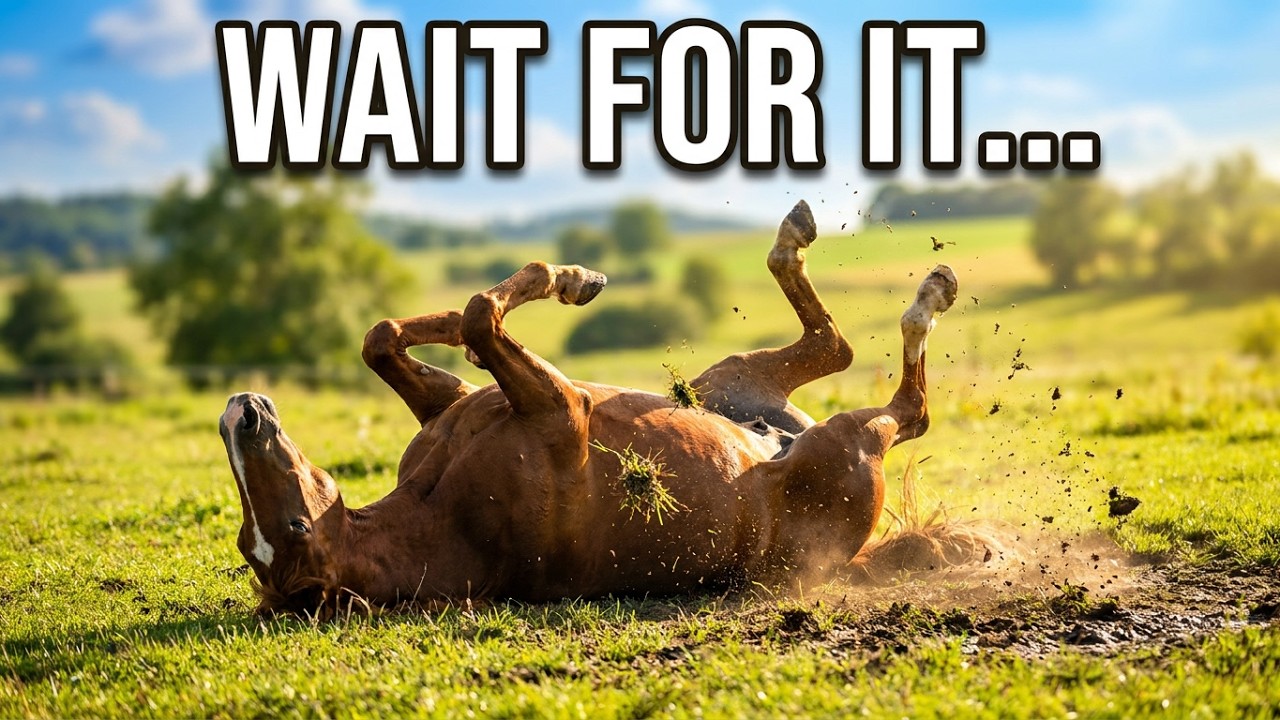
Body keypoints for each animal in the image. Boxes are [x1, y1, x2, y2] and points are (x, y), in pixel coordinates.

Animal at [218, 200, 958, 616]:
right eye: (289, 529)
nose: (242, 413)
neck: (441, 515)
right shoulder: (562, 408)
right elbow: (483, 313)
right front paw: (569, 281)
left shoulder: (450, 408)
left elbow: (395, 336)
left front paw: (532, 304)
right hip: (845, 442)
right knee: (908, 405)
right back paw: (929, 294)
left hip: (729, 382)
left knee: (831, 345)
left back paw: (798, 238)